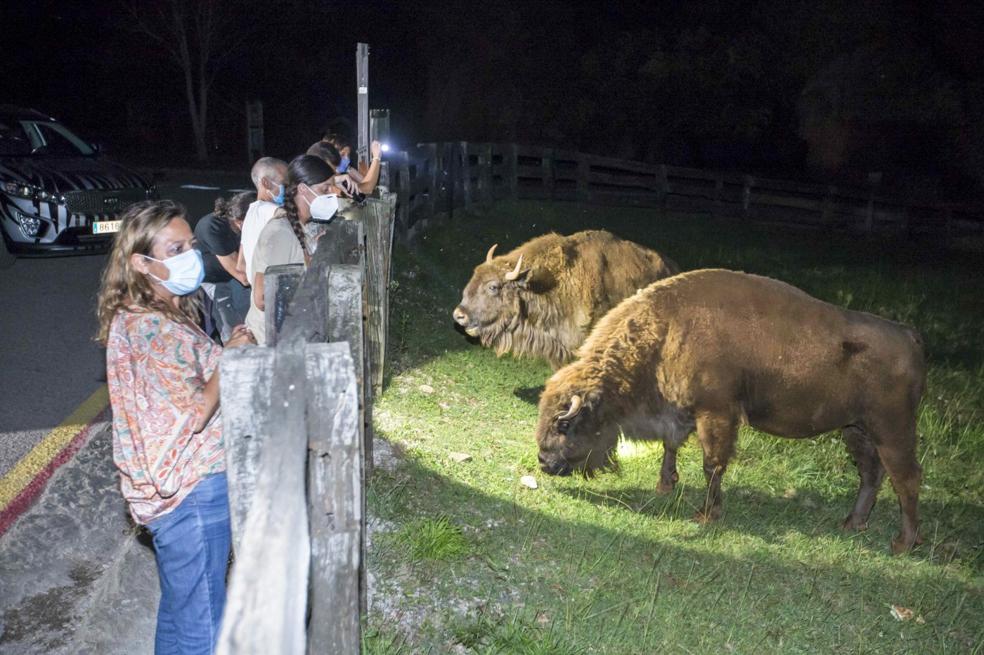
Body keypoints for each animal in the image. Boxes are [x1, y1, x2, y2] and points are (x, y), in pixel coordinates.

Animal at [536, 270, 928, 552]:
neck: (667, 328)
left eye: (564, 425)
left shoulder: (716, 413)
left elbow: (712, 465)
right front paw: (665, 486)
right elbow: (670, 445)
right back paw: (852, 524)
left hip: (892, 430)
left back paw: (902, 543)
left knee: (906, 477)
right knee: (871, 474)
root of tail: (909, 336)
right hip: (856, 430)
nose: (543, 462)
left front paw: (706, 515)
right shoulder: (681, 412)